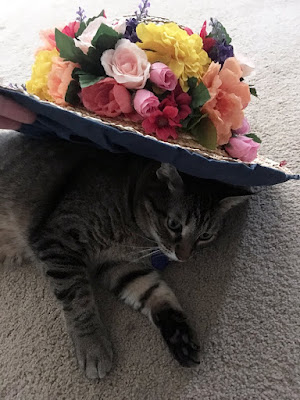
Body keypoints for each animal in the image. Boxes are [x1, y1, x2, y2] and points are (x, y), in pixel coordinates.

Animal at [0, 133, 248, 380]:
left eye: (205, 235)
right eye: (174, 225)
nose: (183, 257)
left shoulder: (121, 266)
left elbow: (157, 294)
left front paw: (180, 337)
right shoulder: (58, 239)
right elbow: (78, 300)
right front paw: (93, 346)